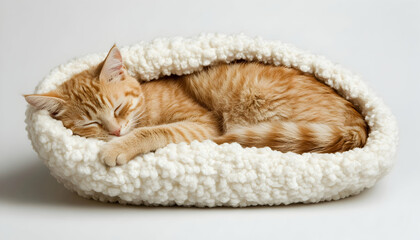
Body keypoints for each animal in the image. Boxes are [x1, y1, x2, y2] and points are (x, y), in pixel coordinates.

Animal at [25, 45, 368, 166]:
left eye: (119, 108)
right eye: (91, 123)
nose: (116, 131)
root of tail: (359, 124)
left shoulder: (205, 123)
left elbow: (158, 131)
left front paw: (121, 146)